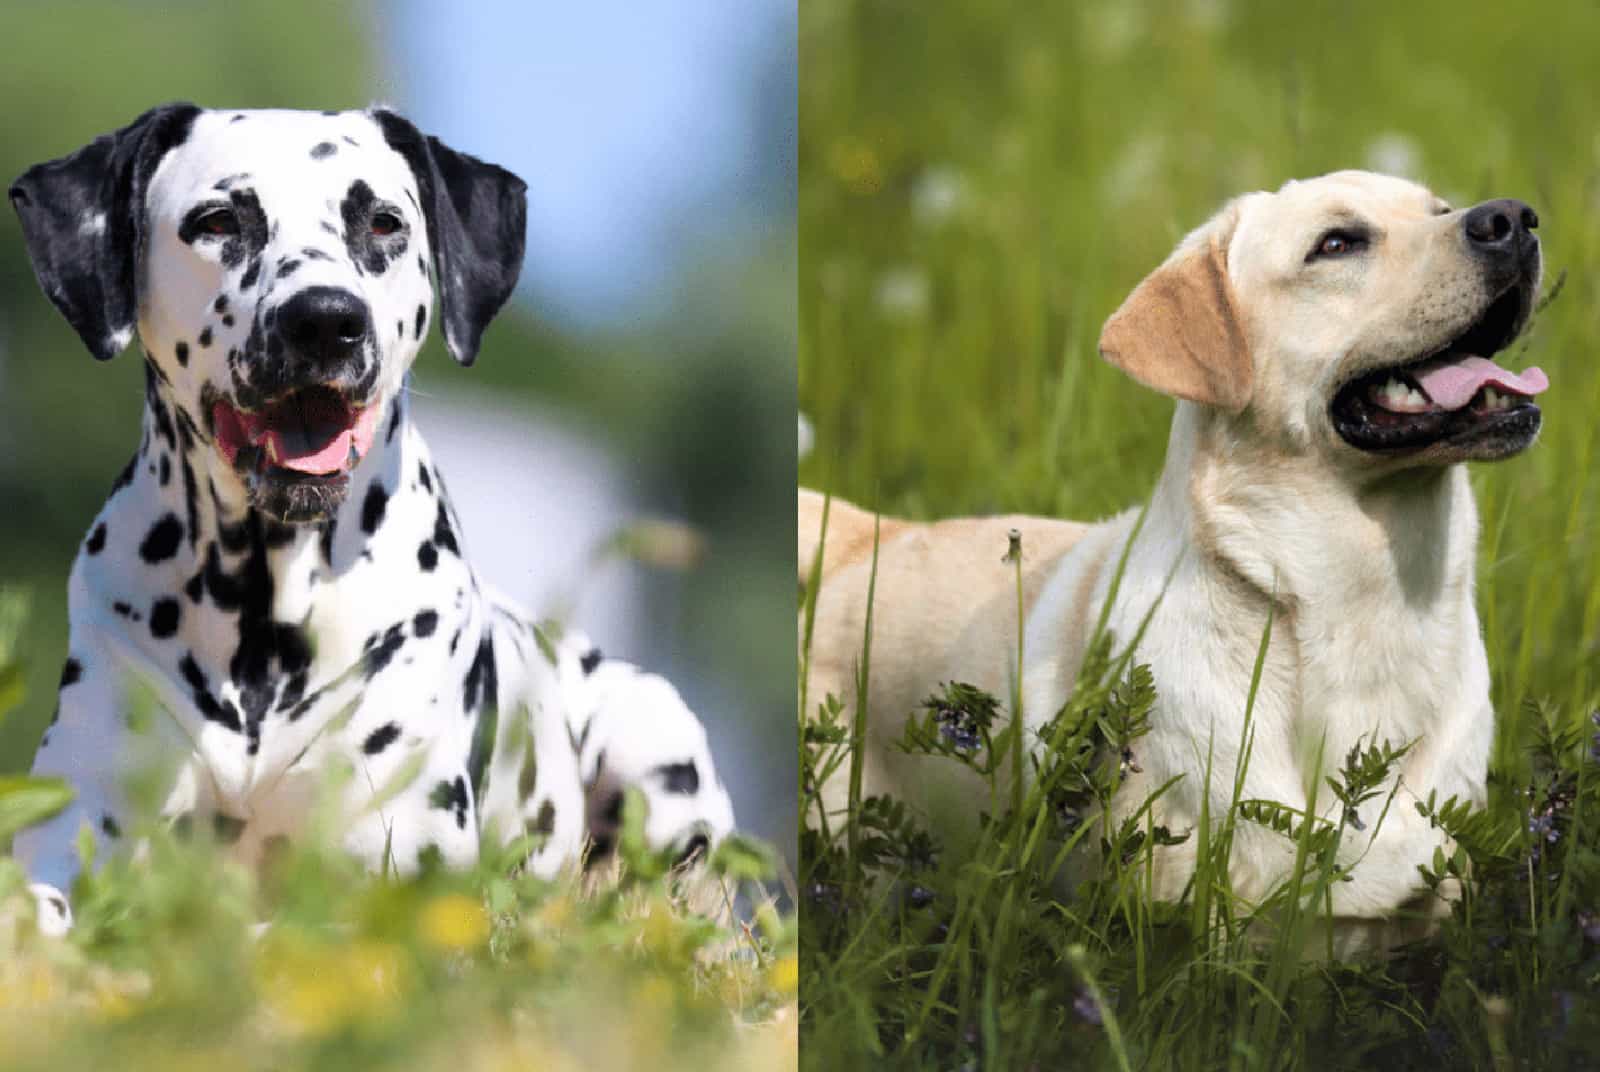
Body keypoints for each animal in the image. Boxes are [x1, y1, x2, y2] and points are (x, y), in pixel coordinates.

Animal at [10, 104, 736, 934]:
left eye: (384, 222)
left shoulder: (404, 862)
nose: (326, 320)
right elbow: (42, 901)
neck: (263, 611)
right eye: (219, 220)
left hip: (648, 739)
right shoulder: (80, 817)